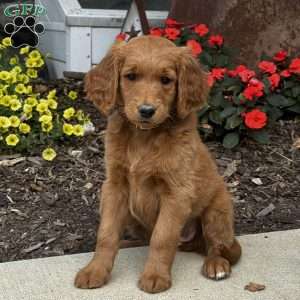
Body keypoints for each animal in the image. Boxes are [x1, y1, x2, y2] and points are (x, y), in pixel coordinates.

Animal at [75, 34, 241, 292]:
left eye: (166, 80)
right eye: (131, 76)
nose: (146, 110)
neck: (143, 136)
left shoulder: (176, 193)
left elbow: (162, 238)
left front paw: (155, 277)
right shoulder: (114, 187)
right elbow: (107, 234)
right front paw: (95, 270)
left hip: (217, 212)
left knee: (217, 246)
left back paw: (216, 265)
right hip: (133, 216)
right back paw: (128, 244)